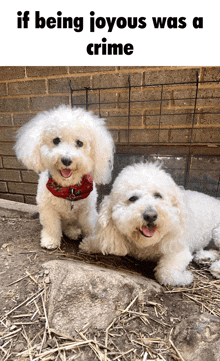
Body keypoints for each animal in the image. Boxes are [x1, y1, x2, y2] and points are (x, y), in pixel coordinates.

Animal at [13, 105, 114, 248]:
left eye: (80, 143)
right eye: (56, 140)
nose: (66, 160)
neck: (68, 188)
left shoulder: (87, 211)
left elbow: (89, 226)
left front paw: (91, 241)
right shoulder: (48, 209)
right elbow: (51, 226)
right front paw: (50, 240)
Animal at [80, 162, 220, 286]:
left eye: (158, 195)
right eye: (133, 198)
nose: (151, 215)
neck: (145, 245)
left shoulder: (178, 249)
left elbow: (166, 274)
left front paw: (186, 277)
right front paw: (89, 244)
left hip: (217, 233)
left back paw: (216, 268)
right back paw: (205, 257)